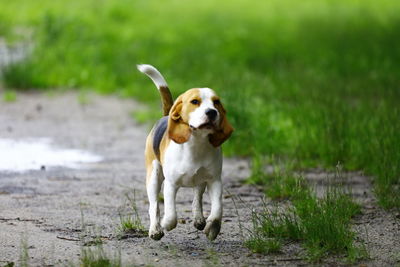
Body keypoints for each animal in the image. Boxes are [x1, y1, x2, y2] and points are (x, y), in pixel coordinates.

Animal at [138, 64, 233, 241]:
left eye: (216, 102)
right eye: (195, 102)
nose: (212, 112)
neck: (196, 144)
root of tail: (166, 116)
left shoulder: (215, 181)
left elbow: (218, 209)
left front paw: (213, 227)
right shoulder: (171, 184)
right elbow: (171, 214)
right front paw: (166, 224)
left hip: (200, 181)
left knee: (197, 198)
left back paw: (199, 219)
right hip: (153, 175)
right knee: (154, 205)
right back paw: (155, 229)